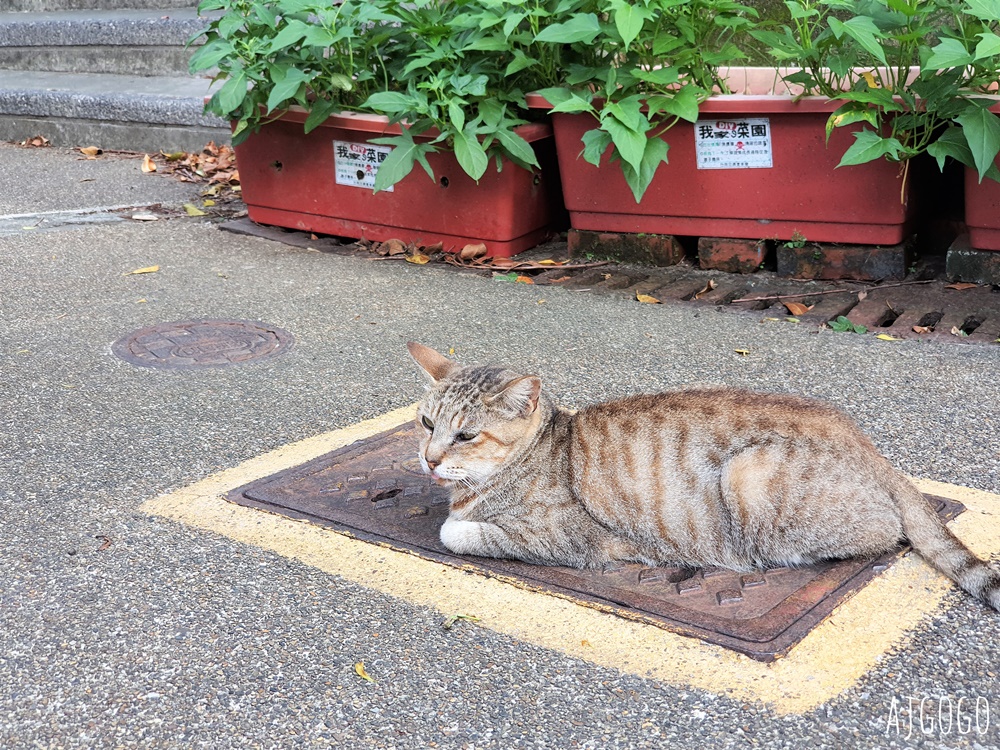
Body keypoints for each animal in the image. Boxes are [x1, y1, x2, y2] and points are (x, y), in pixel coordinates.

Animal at [408, 344, 1000, 612]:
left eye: (466, 436)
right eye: (427, 423)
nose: (430, 460)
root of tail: (873, 451)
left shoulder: (567, 540)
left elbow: (456, 530)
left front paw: (456, 522)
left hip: (749, 475)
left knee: (881, 535)